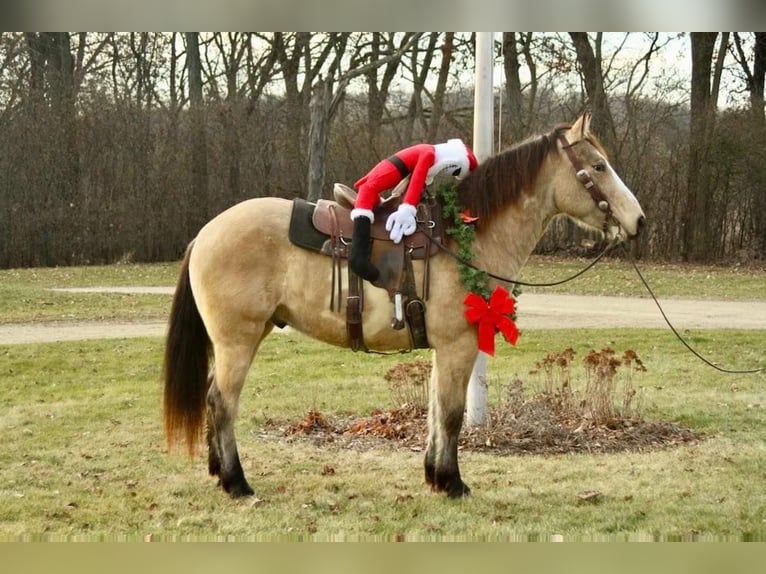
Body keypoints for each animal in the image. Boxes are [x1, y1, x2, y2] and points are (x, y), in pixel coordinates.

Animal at [162, 113, 648, 500]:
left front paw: (434, 475)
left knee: (213, 399)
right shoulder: (458, 345)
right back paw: (236, 482)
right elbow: (450, 414)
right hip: (237, 341)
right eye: (599, 166)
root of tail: (205, 233)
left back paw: (219, 472)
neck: (465, 237)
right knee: (222, 403)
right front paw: (452, 482)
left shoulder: (445, 349)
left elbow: (435, 410)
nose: (638, 220)